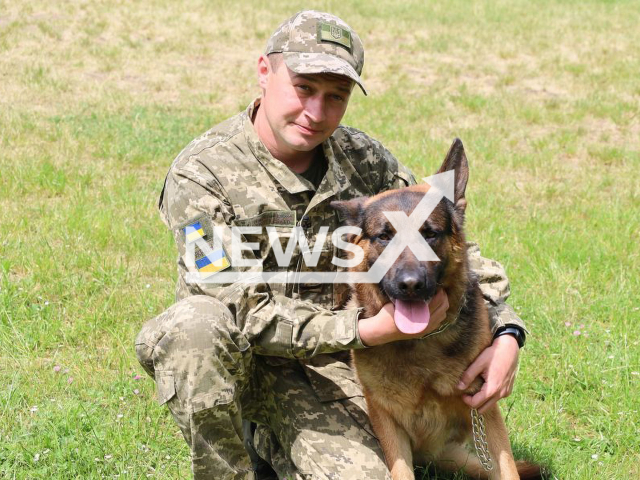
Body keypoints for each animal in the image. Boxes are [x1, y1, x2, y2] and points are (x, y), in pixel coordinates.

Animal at [330, 140, 540, 480]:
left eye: (429, 233)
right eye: (384, 236)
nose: (410, 285)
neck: (419, 343)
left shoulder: (485, 412)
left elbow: (507, 468)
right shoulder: (387, 421)